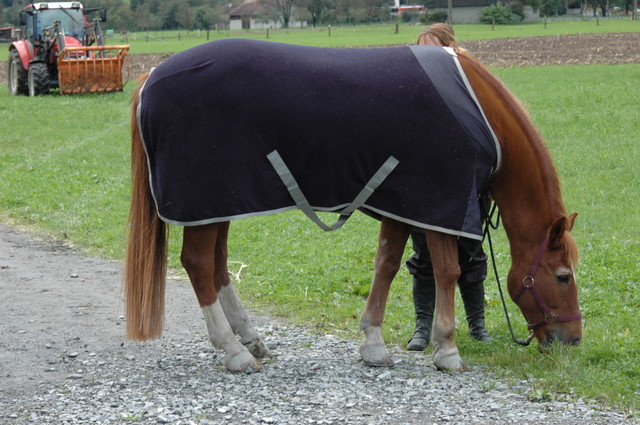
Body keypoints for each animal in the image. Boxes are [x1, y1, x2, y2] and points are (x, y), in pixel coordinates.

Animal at [124, 39, 582, 373]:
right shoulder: (440, 205)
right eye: (562, 277)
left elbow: (387, 266)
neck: (478, 111)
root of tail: (150, 78)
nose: (573, 340)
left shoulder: (404, 204)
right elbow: (447, 272)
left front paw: (374, 344)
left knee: (217, 266)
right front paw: (447, 350)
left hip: (219, 204)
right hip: (206, 206)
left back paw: (251, 341)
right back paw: (233, 352)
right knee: (200, 264)